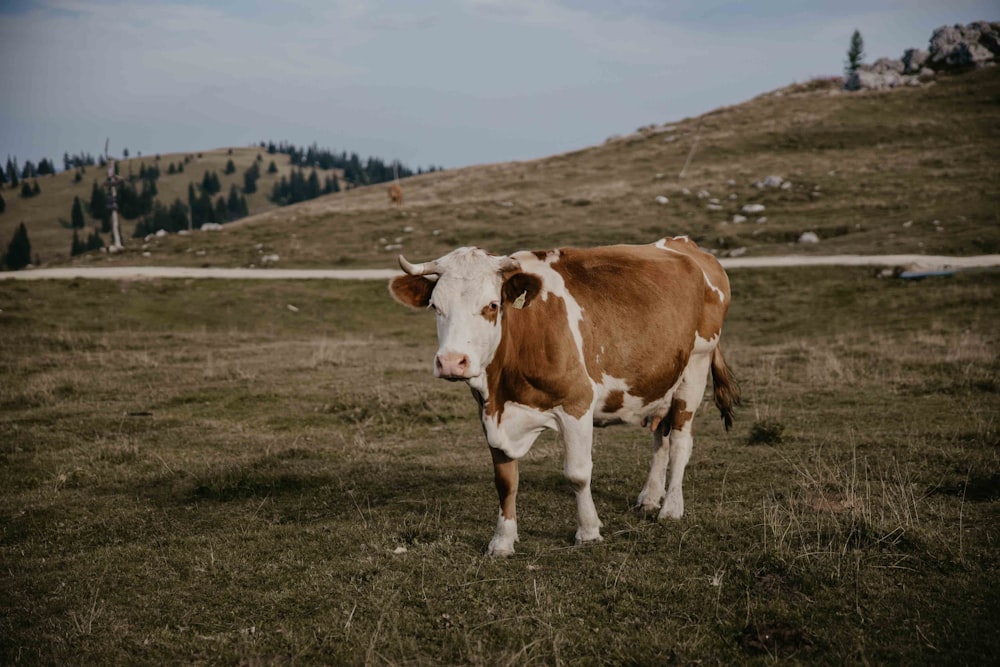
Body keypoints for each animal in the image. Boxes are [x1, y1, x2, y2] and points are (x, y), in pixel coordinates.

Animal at [390, 237, 744, 556]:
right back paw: (649, 498)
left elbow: (577, 472)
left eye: (491, 305)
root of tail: (685, 246)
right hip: (659, 379)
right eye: (436, 306)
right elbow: (505, 480)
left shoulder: (577, 403)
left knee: (682, 441)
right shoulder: (490, 412)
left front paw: (588, 531)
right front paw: (502, 541)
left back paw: (670, 507)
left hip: (695, 367)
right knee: (661, 437)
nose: (452, 362)